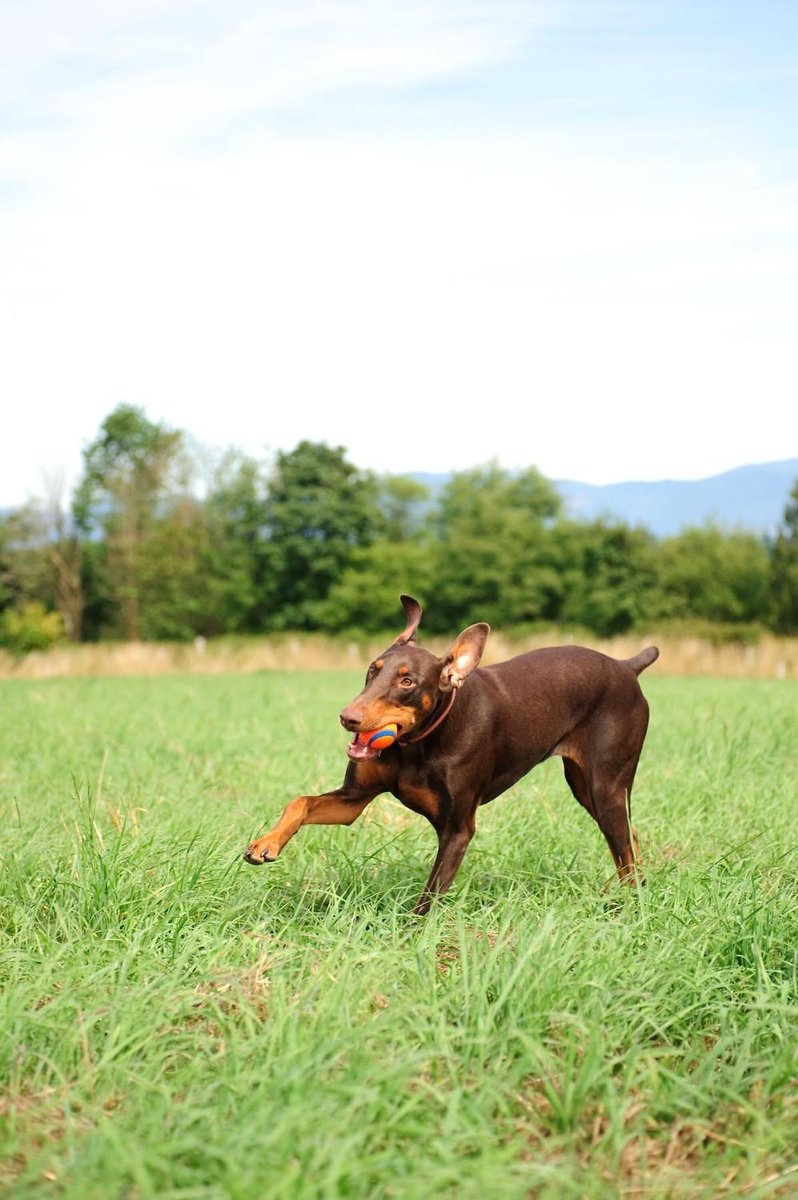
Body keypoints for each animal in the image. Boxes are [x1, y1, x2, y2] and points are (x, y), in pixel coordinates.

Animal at [246, 595, 657, 912]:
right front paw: (265, 844)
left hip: (605, 787)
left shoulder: (457, 829)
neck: (417, 745)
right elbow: (301, 802)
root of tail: (625, 666)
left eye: (407, 681)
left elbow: (429, 897)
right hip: (586, 787)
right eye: (372, 670)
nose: (349, 717)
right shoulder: (353, 799)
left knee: (624, 847)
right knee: (630, 841)